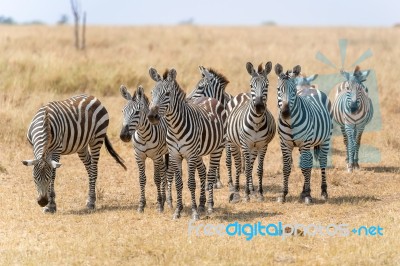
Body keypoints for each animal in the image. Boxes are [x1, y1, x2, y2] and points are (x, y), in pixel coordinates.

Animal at [119, 84, 172, 213]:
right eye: (123, 111)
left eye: (137, 112)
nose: (123, 136)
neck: (144, 136)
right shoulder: (139, 156)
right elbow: (142, 179)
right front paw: (141, 205)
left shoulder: (155, 156)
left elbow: (156, 179)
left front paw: (159, 204)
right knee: (164, 171)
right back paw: (164, 198)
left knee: (167, 173)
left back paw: (167, 200)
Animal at [148, 67, 228, 220]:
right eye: (151, 93)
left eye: (167, 94)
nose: (151, 116)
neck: (174, 127)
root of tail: (210, 98)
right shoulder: (175, 155)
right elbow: (179, 184)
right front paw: (178, 211)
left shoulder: (190, 155)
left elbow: (191, 183)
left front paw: (194, 212)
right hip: (199, 152)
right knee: (202, 171)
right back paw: (202, 204)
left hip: (217, 148)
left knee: (210, 175)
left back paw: (209, 206)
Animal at [227, 62, 276, 203]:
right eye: (251, 85)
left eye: (267, 85)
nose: (259, 106)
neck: (257, 122)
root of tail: (243, 94)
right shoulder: (245, 144)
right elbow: (247, 169)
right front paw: (246, 195)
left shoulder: (263, 145)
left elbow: (259, 169)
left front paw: (259, 193)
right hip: (233, 143)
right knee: (238, 165)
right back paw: (237, 190)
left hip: (253, 148)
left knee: (250, 164)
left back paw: (252, 189)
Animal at [274, 64, 332, 204]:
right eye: (278, 89)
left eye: (293, 91)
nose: (285, 113)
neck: (290, 123)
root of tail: (310, 88)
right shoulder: (284, 144)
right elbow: (287, 167)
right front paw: (283, 194)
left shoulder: (305, 142)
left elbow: (305, 166)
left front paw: (307, 195)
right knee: (309, 161)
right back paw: (305, 190)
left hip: (325, 139)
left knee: (322, 161)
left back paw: (323, 191)